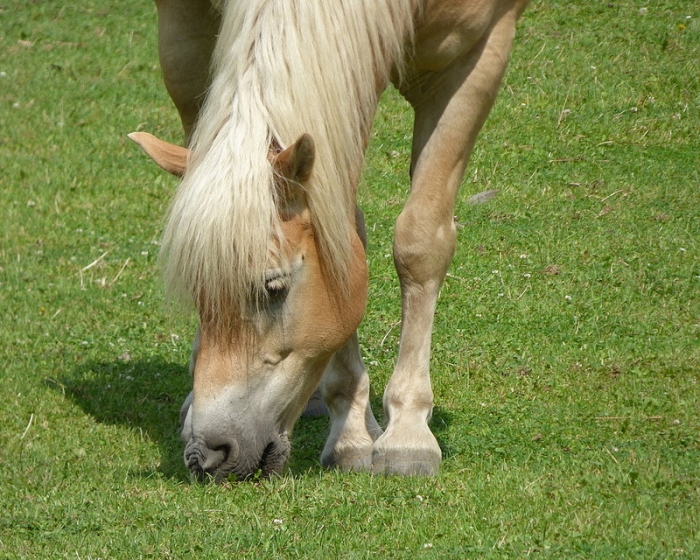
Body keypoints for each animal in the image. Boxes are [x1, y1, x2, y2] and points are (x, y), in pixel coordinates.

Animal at [130, 0, 529, 480]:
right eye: (194, 293)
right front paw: (353, 433)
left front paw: (407, 433)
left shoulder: (477, 53)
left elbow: (419, 241)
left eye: (274, 288)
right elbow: (346, 238)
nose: (207, 454)